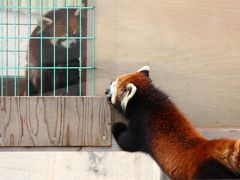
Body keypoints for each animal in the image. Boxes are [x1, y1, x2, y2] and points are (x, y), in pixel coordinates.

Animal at [105, 65, 240, 179]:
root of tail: (207, 147)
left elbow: (128, 142)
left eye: (114, 85)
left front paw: (117, 127)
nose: (108, 86)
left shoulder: (141, 125)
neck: (148, 99)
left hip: (206, 172)